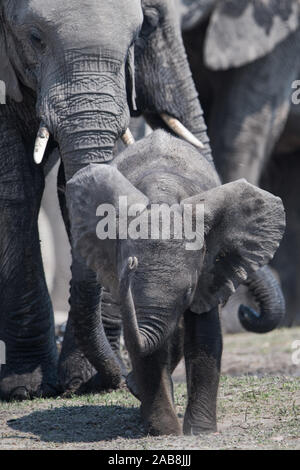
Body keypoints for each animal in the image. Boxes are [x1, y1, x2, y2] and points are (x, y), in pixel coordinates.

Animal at [0, 0, 211, 400]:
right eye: (34, 38)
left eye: (136, 35)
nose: (122, 379)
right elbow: (13, 190)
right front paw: (25, 389)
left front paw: (86, 382)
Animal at [66, 130, 286, 436]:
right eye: (126, 284)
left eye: (187, 293)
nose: (247, 311)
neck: (164, 197)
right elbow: (148, 344)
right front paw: (165, 431)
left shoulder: (207, 272)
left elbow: (204, 336)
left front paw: (200, 432)